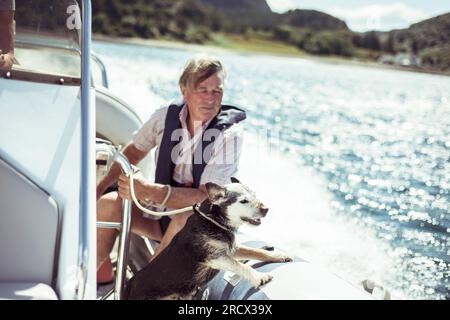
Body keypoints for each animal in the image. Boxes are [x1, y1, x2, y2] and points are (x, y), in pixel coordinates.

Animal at [125, 178, 292, 300]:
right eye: (243, 201)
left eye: (255, 195)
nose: (266, 209)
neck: (215, 221)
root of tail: (128, 285)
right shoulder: (214, 257)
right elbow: (240, 266)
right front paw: (259, 277)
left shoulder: (232, 249)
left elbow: (256, 251)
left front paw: (278, 255)